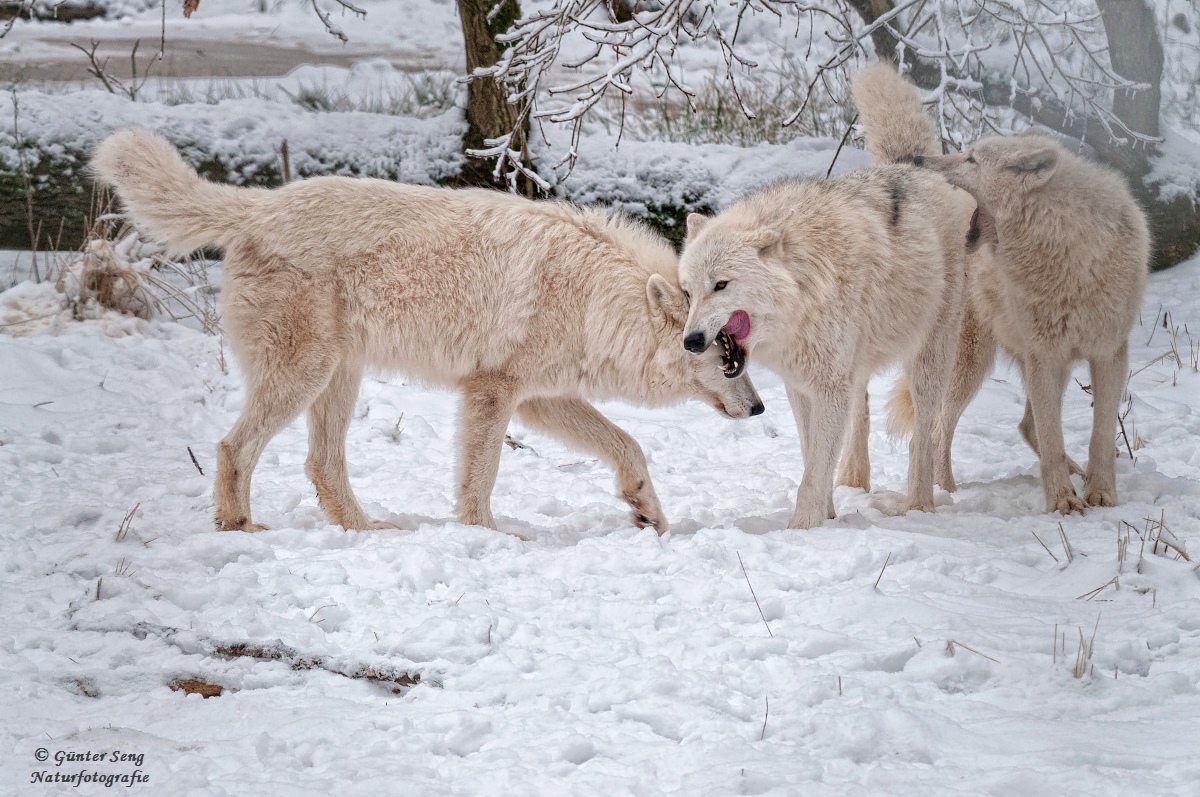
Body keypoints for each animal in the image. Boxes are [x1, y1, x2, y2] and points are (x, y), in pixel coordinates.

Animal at [96, 129, 768, 535]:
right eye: (729, 361)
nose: (762, 408)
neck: (590, 298)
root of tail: (258, 206)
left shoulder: (541, 400)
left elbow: (628, 445)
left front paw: (647, 513)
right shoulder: (493, 393)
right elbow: (479, 479)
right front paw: (486, 538)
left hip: (338, 380)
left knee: (321, 464)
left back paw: (365, 530)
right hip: (303, 377)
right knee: (233, 449)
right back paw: (240, 528)